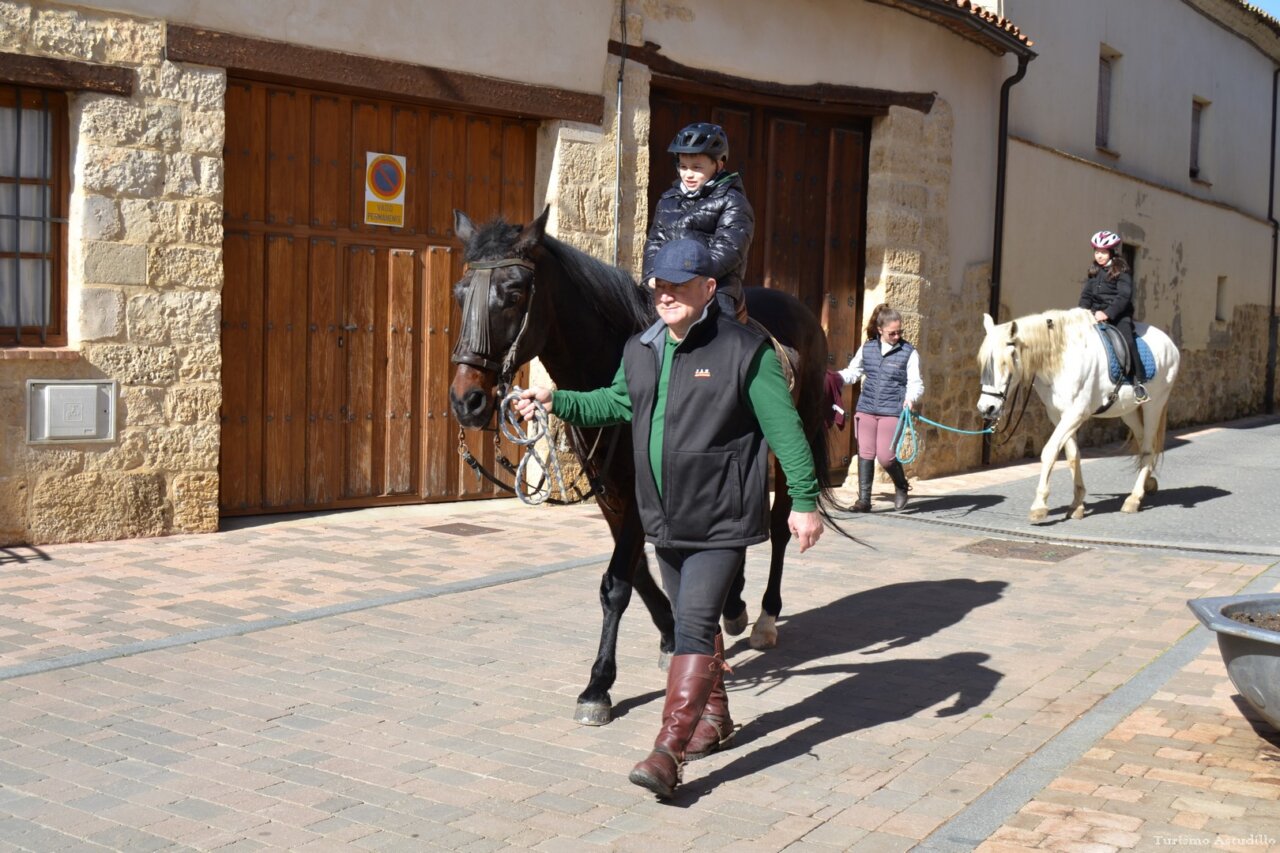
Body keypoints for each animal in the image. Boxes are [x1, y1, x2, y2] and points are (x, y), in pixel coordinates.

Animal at [976, 308, 1180, 521]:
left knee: (1148, 447)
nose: (986, 408)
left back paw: (1134, 499)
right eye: (983, 364)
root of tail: (1169, 342)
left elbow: (1049, 451)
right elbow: (1073, 455)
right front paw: (1077, 504)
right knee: (1142, 441)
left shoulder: (1075, 414)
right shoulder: (1058, 415)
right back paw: (1148, 483)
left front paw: (1039, 505)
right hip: (1128, 411)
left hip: (1153, 406)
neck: (1061, 360)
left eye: (1004, 362)